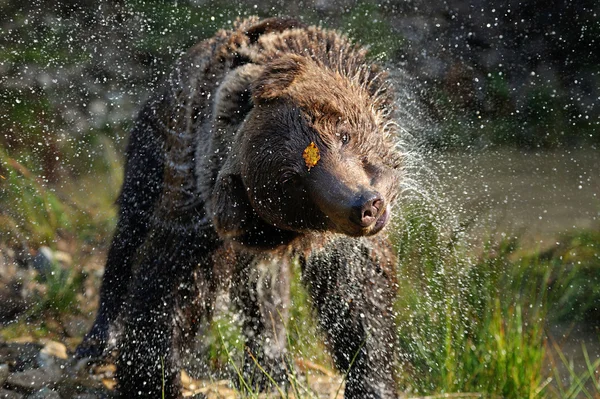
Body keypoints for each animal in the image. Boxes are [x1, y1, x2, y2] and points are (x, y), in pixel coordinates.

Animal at [76, 17, 404, 399]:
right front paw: (150, 378)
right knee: (130, 232)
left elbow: (359, 296)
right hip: (151, 150)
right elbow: (166, 280)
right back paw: (98, 340)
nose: (364, 205)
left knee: (263, 289)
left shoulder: (339, 245)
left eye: (343, 134)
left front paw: (372, 381)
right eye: (292, 181)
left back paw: (272, 366)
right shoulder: (197, 205)